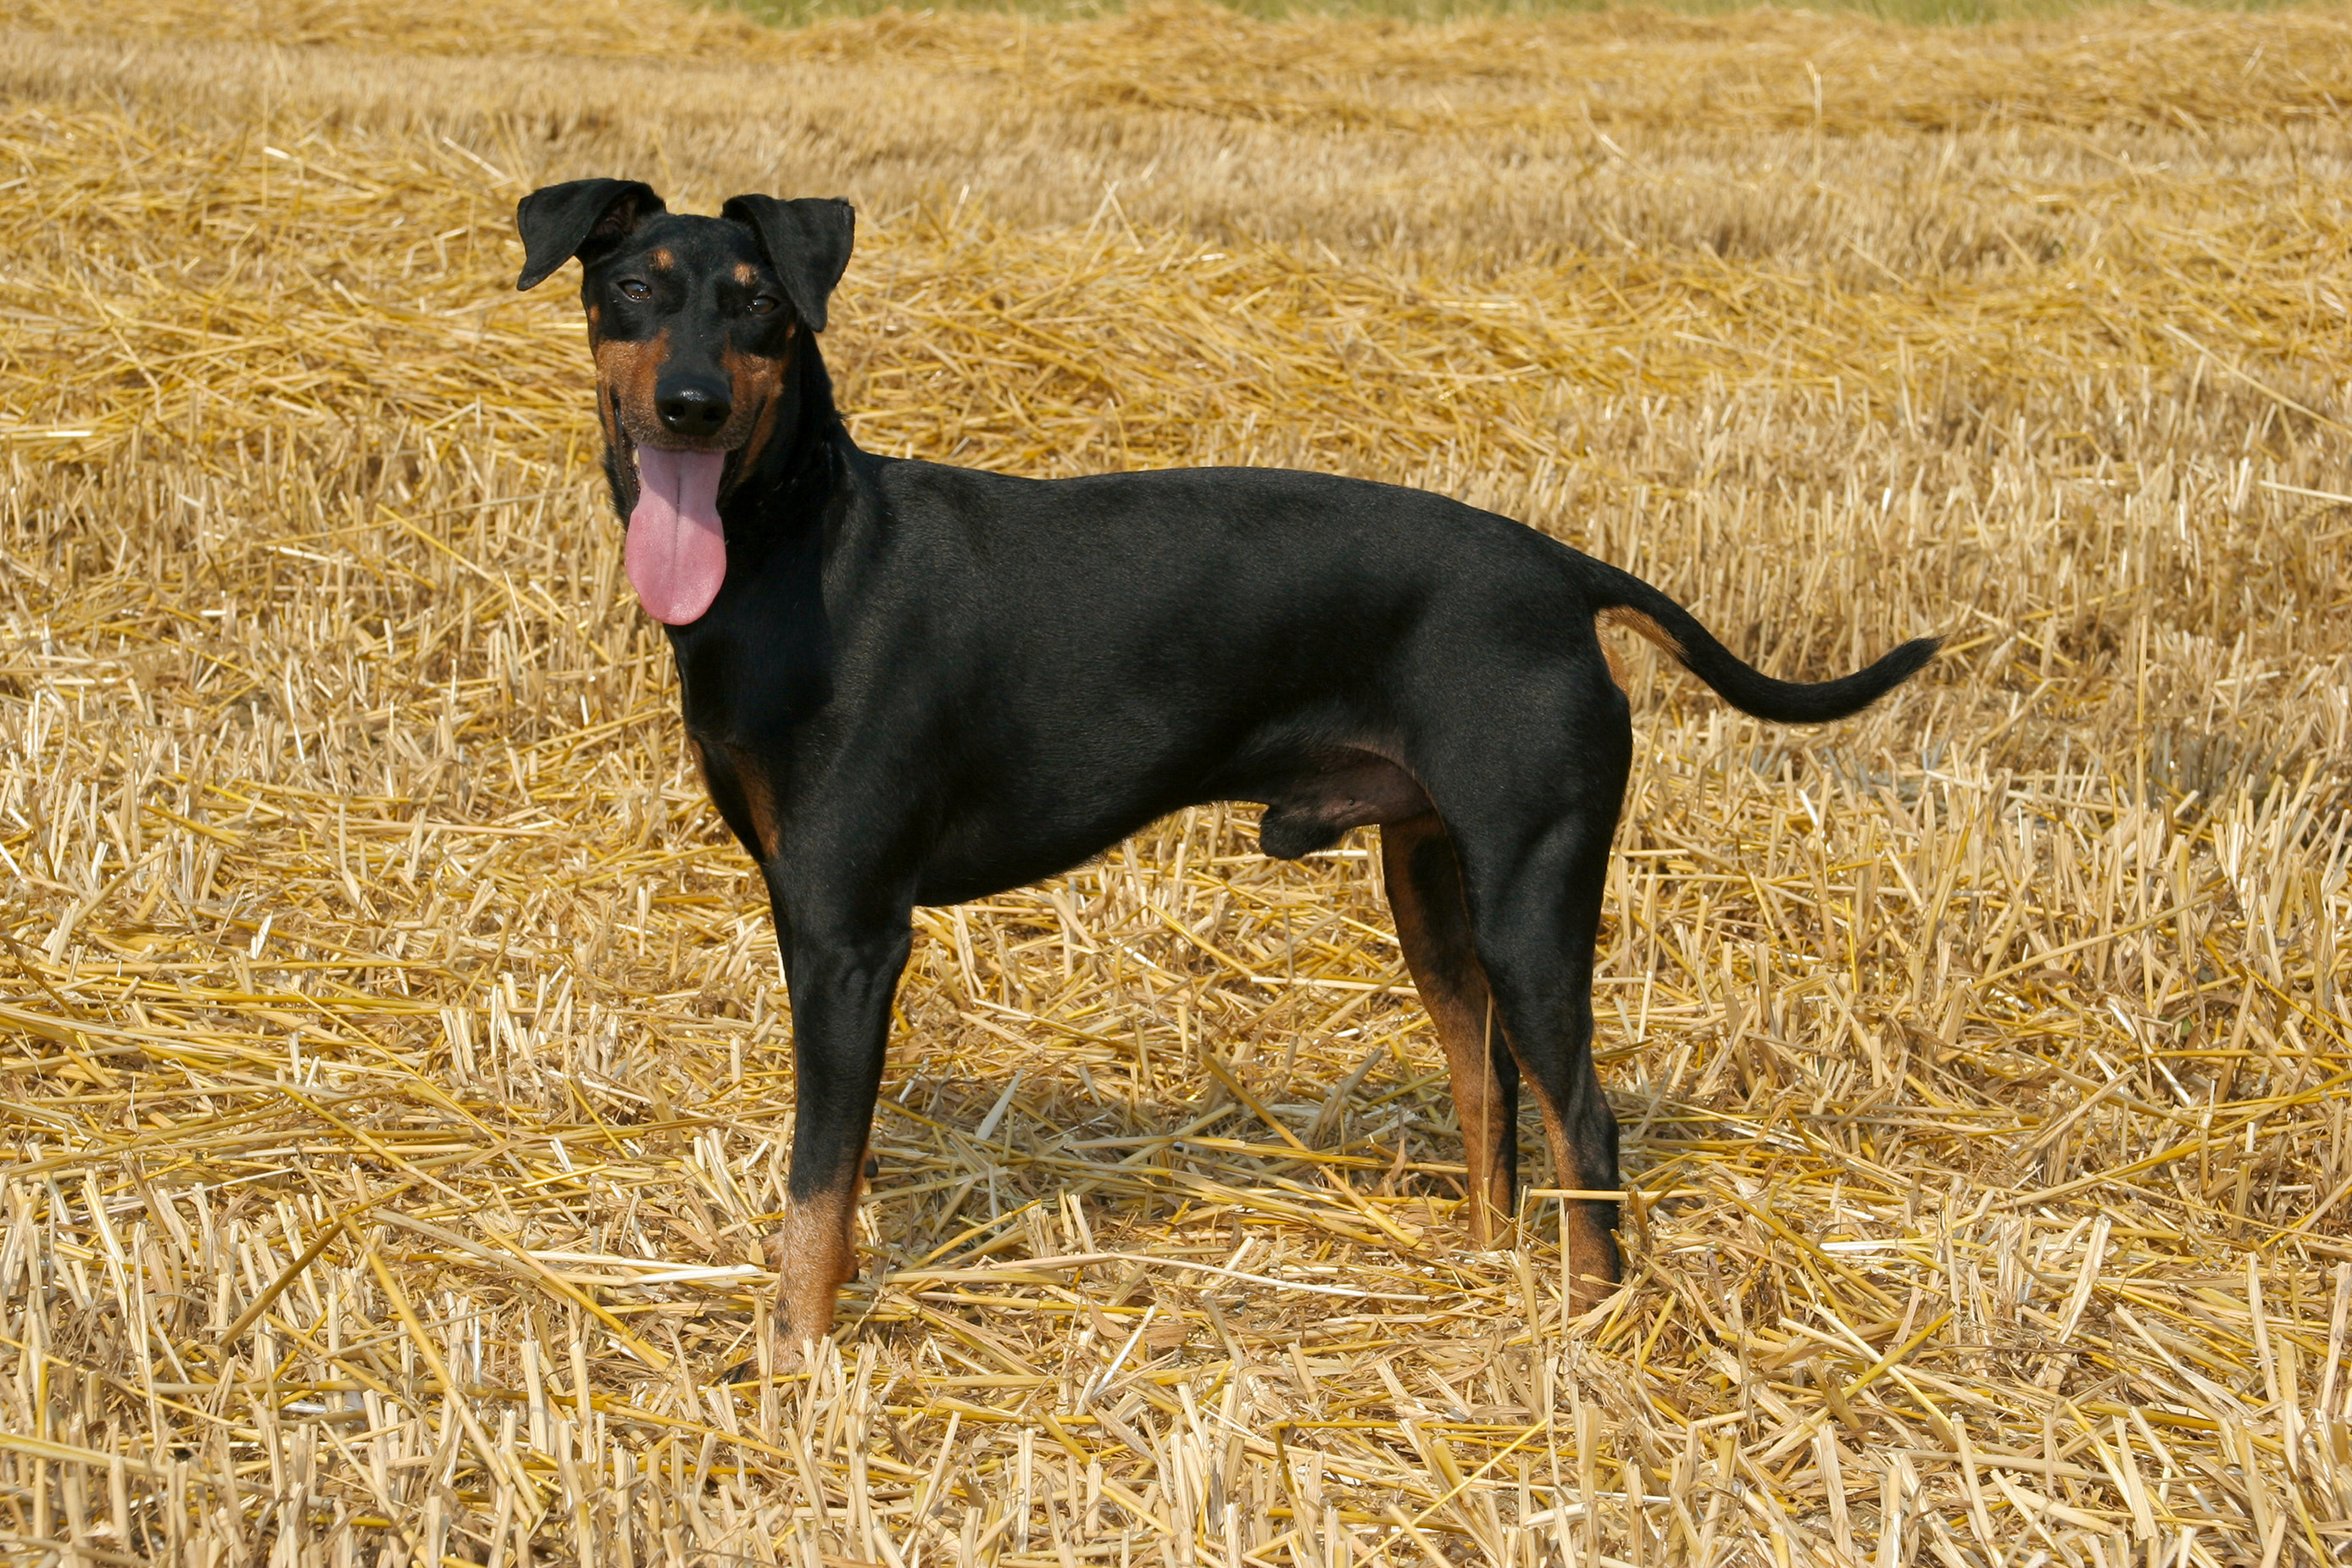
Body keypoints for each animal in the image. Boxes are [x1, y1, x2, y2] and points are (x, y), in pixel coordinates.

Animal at [510, 177, 1928, 1354]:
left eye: (762, 307)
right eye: (632, 288)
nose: (689, 404)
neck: (796, 546)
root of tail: (1559, 571)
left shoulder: (847, 933)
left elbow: (816, 1181)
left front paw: (797, 1359)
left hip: (1533, 899)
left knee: (1582, 1117)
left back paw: (1584, 1327)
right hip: (1430, 891)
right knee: (1488, 1096)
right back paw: (1480, 1271)